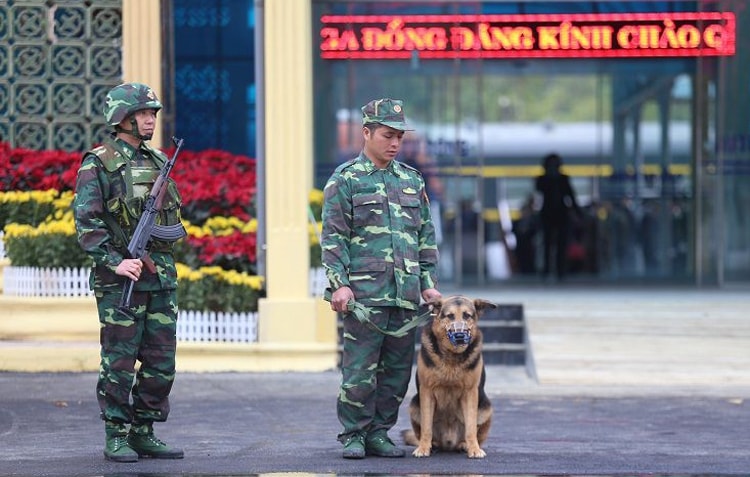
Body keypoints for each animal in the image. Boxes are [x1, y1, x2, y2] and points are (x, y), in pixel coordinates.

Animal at [406, 296, 500, 456]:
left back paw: (465, 445)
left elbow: (470, 427)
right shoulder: (427, 391)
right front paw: (423, 448)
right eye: (450, 316)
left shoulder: (470, 393)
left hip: (486, 409)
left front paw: (474, 449)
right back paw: (433, 444)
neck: (452, 356)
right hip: (414, 406)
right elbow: (426, 427)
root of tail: (448, 443)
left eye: (467, 315)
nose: (460, 336)